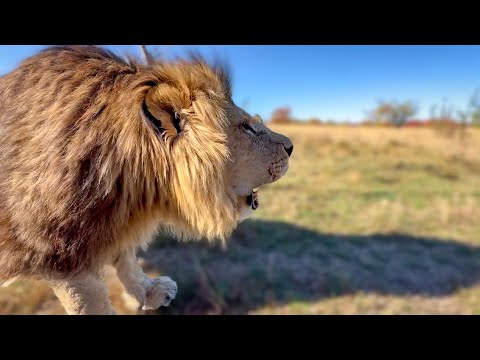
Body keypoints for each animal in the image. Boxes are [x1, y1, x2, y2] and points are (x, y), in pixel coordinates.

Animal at [0, 45, 292, 316]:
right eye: (246, 127)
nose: (291, 147)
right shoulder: (55, 249)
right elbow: (90, 301)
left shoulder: (113, 218)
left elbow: (127, 259)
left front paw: (149, 291)